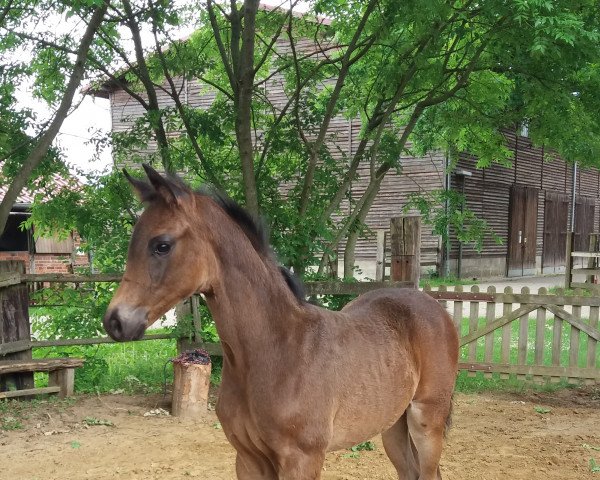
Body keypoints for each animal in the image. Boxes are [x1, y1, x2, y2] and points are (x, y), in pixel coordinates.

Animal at [104, 163, 460, 478]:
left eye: (162, 245)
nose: (114, 322)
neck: (276, 349)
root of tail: (433, 305)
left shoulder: (302, 459)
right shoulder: (247, 458)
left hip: (427, 420)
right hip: (393, 424)